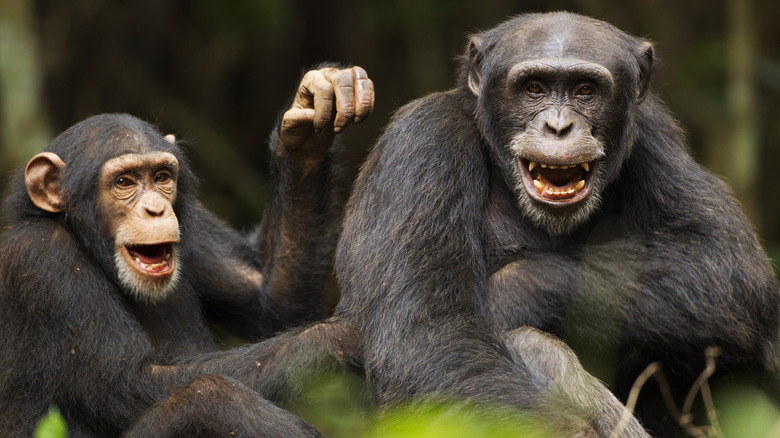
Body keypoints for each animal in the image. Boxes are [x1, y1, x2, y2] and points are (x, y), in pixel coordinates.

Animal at [0, 66, 374, 438]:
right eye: (124, 182)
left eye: (162, 177)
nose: (156, 209)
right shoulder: (42, 259)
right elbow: (128, 383)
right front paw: (342, 337)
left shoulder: (193, 222)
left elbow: (270, 300)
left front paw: (312, 111)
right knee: (206, 397)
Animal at [336, 12, 780, 436]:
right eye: (534, 88)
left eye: (586, 90)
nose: (559, 126)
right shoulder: (421, 144)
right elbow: (429, 334)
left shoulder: (656, 134)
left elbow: (722, 259)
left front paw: (504, 295)